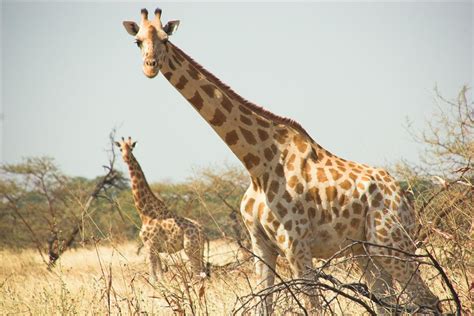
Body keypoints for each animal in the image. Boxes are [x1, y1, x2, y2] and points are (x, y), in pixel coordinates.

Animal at [115, 137, 206, 280]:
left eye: (131, 148)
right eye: (120, 149)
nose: (126, 158)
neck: (145, 213)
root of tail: (202, 230)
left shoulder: (150, 245)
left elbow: (153, 278)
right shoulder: (156, 249)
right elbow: (160, 276)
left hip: (191, 249)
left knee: (198, 274)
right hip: (198, 250)